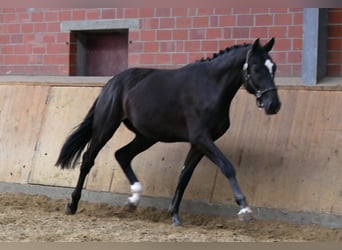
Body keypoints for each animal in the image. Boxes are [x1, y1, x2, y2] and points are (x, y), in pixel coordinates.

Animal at [55, 37, 280, 227]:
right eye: (256, 68)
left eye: (274, 67)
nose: (274, 105)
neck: (210, 87)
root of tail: (111, 83)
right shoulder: (202, 139)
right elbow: (227, 167)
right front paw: (244, 209)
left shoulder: (198, 143)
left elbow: (184, 176)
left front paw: (175, 215)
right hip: (106, 127)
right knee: (88, 160)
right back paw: (72, 205)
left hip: (146, 136)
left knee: (122, 155)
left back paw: (133, 199)